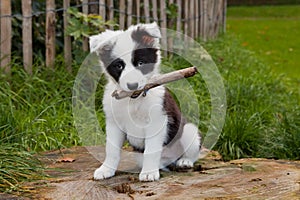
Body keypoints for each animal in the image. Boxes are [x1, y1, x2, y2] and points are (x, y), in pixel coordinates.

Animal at [89, 22, 202, 181]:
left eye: (141, 63)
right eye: (119, 66)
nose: (132, 85)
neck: (134, 100)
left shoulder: (157, 122)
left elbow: (151, 150)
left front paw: (149, 172)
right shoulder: (113, 124)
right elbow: (111, 149)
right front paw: (106, 169)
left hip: (188, 131)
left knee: (192, 153)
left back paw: (184, 161)